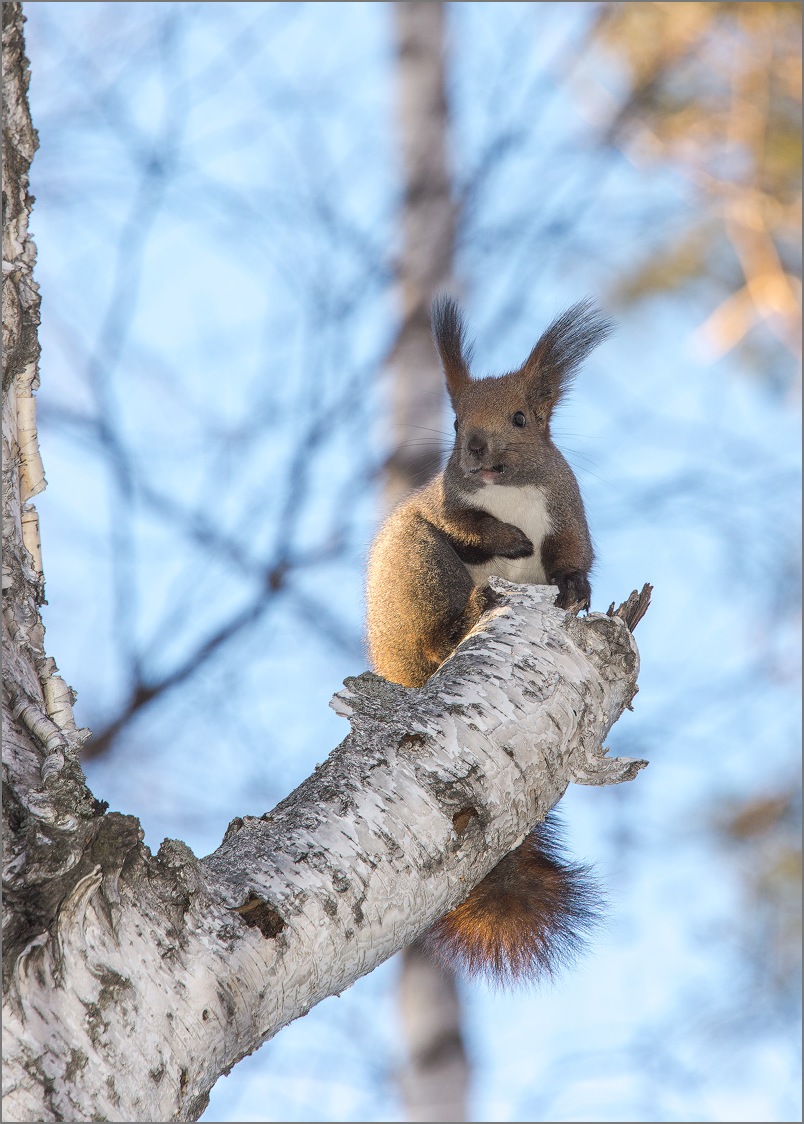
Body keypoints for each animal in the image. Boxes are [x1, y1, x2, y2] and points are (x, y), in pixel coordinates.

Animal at [368, 292, 611, 984]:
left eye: (522, 418)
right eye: (455, 422)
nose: (475, 450)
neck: (510, 492)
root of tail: (396, 667)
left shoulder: (569, 515)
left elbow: (572, 557)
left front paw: (576, 589)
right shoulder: (443, 505)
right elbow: (466, 523)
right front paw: (507, 539)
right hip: (419, 565)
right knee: (438, 622)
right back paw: (466, 614)